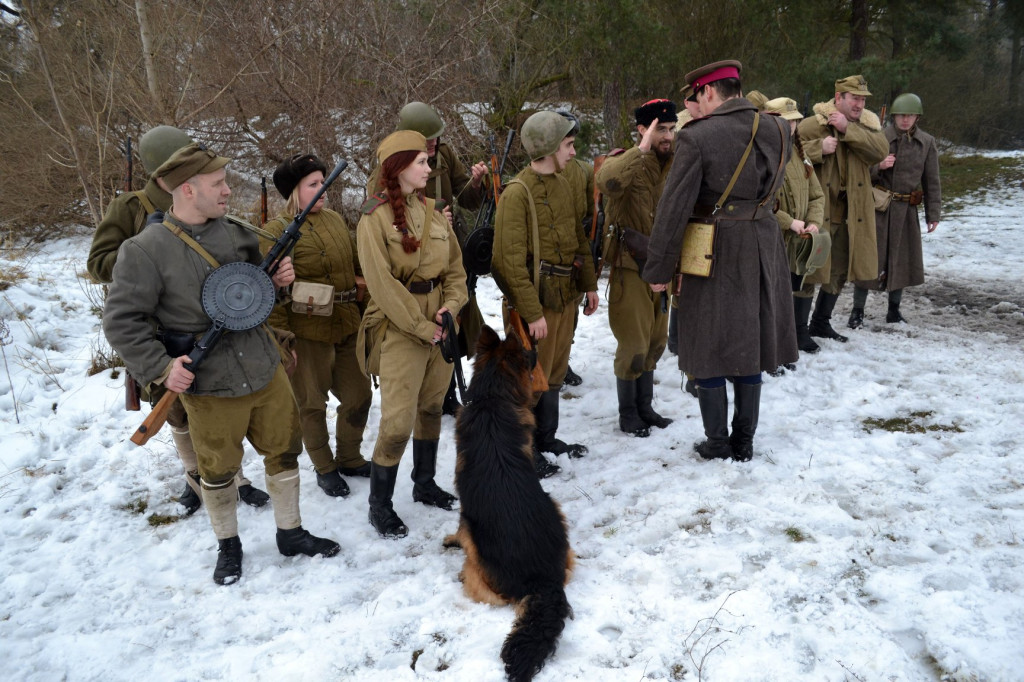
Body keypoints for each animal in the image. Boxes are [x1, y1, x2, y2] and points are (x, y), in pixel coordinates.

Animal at [442, 323, 577, 679]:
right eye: (529, 356)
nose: (536, 350)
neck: (493, 397)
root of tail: (543, 580)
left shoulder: (464, 510)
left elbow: (457, 527)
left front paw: (449, 539)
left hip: (478, 552)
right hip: (556, 508)